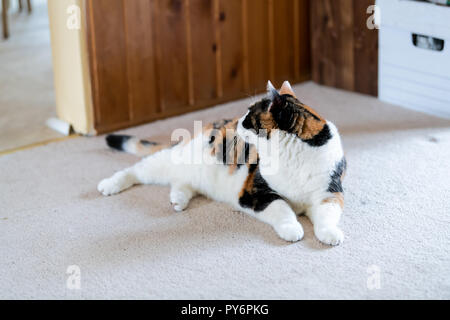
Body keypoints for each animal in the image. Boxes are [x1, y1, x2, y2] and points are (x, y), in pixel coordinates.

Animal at [97, 80, 348, 245]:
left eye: (248, 117)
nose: (237, 122)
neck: (291, 156)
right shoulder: (256, 191)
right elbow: (283, 208)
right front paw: (292, 229)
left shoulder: (330, 193)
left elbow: (327, 215)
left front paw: (330, 234)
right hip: (166, 163)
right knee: (136, 170)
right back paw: (109, 185)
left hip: (191, 178)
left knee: (180, 183)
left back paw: (178, 200)